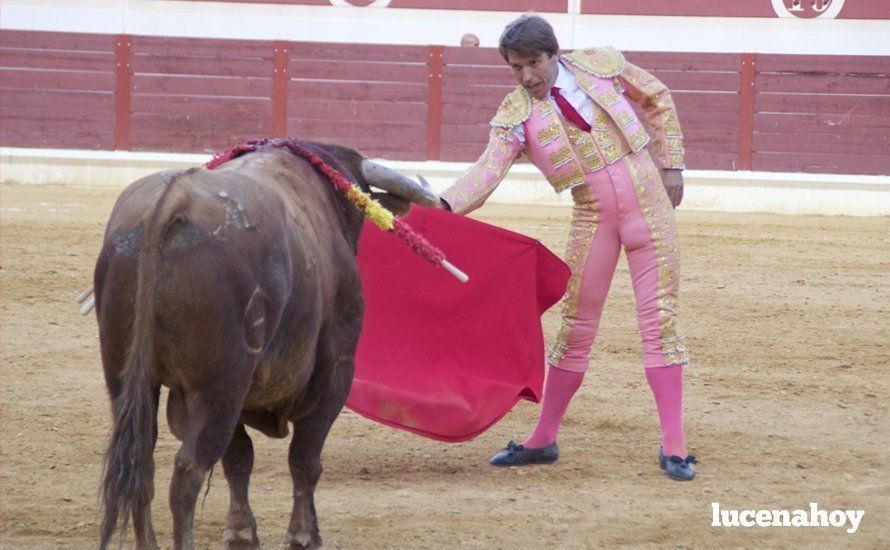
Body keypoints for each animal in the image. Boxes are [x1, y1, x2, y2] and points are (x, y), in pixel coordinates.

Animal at [96, 142, 438, 550]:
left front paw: (242, 532)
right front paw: (303, 535)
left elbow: (239, 459)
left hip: (127, 377)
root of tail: (171, 202)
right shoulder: (336, 371)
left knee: (141, 463)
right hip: (218, 388)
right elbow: (305, 459)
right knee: (188, 472)